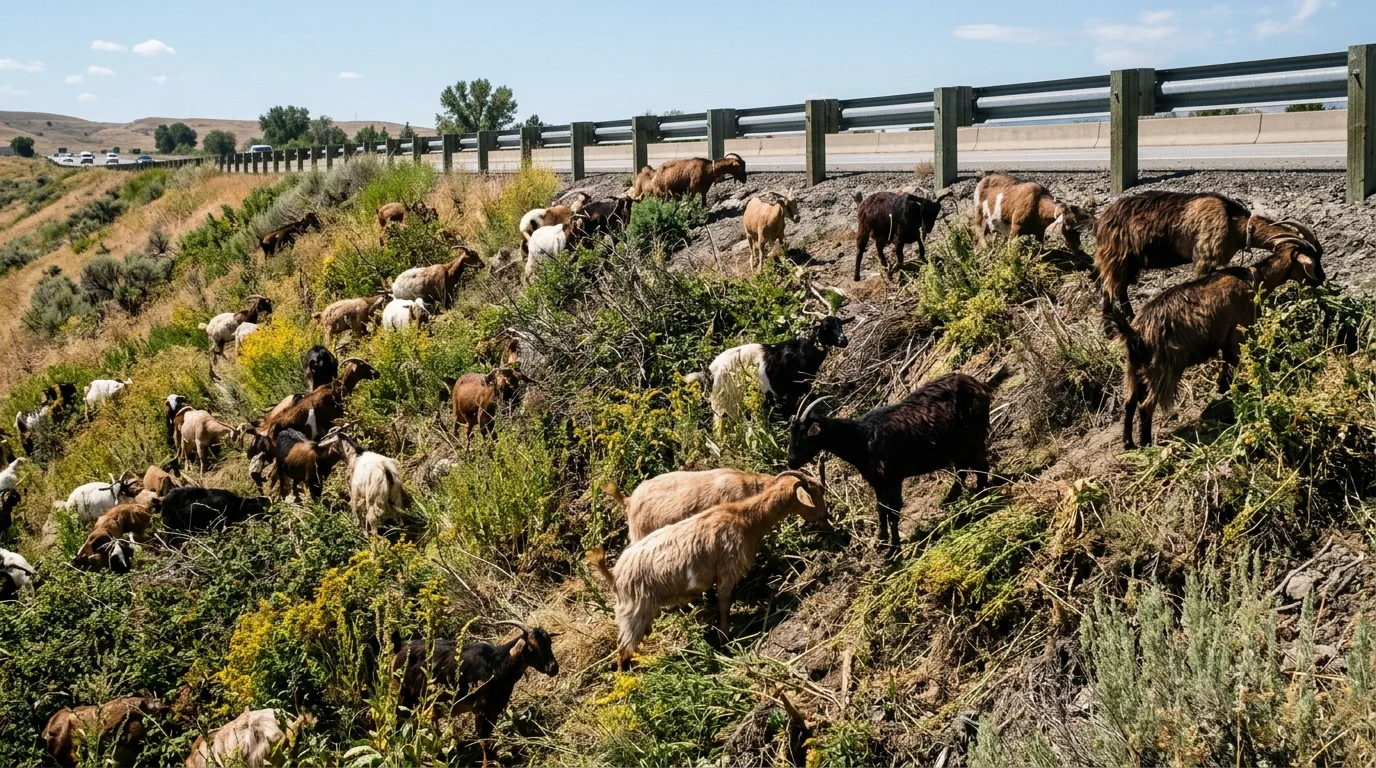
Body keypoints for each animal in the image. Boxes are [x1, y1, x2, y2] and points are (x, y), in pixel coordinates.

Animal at [392, 620, 559, 768]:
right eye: (531, 647)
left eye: (549, 643)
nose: (553, 668)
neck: (497, 665)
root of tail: (400, 649)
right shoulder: (481, 710)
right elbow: (483, 740)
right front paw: (486, 764)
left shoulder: (494, 709)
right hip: (405, 695)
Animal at [704, 315, 852, 426]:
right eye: (826, 328)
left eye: (841, 325)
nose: (843, 341)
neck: (804, 353)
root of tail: (714, 368)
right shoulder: (793, 391)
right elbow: (788, 411)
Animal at [786, 370, 1005, 550]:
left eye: (804, 437)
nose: (791, 462)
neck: (861, 439)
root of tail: (977, 385)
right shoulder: (878, 482)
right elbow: (881, 510)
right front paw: (881, 541)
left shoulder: (893, 478)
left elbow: (893, 512)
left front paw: (895, 547)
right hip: (959, 446)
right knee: (963, 468)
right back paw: (953, 499)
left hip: (973, 436)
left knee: (981, 466)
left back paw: (979, 499)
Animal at [1093, 191, 1322, 333]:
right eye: (1311, 262)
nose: (1321, 278)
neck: (1234, 222)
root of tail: (1102, 220)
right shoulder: (1204, 256)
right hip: (1116, 256)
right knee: (1109, 288)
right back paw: (1108, 329)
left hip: (1130, 263)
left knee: (1120, 289)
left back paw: (1128, 319)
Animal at [1115, 234, 1324, 448]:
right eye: (1315, 260)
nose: (1322, 279)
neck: (1253, 280)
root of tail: (1136, 332)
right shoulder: (1237, 335)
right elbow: (1231, 367)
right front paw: (1228, 392)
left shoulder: (1226, 341)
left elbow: (1226, 368)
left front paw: (1222, 389)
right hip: (1164, 367)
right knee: (1145, 406)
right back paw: (1146, 444)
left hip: (1133, 367)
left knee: (1129, 402)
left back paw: (1128, 443)